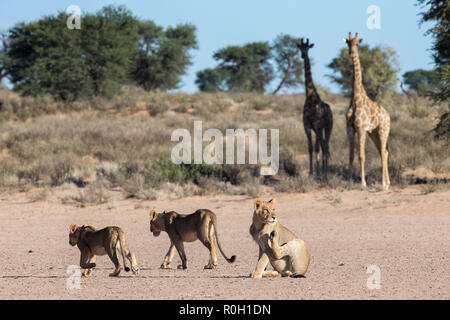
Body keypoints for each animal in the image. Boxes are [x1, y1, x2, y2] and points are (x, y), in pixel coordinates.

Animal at [344, 31, 390, 190]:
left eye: (357, 43)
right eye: (348, 43)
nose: (351, 53)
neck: (355, 99)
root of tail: (388, 116)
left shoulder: (361, 128)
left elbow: (361, 155)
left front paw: (363, 182)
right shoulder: (350, 128)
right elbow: (351, 155)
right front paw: (349, 180)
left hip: (383, 130)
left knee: (383, 152)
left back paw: (383, 184)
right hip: (373, 133)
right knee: (384, 152)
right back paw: (388, 183)